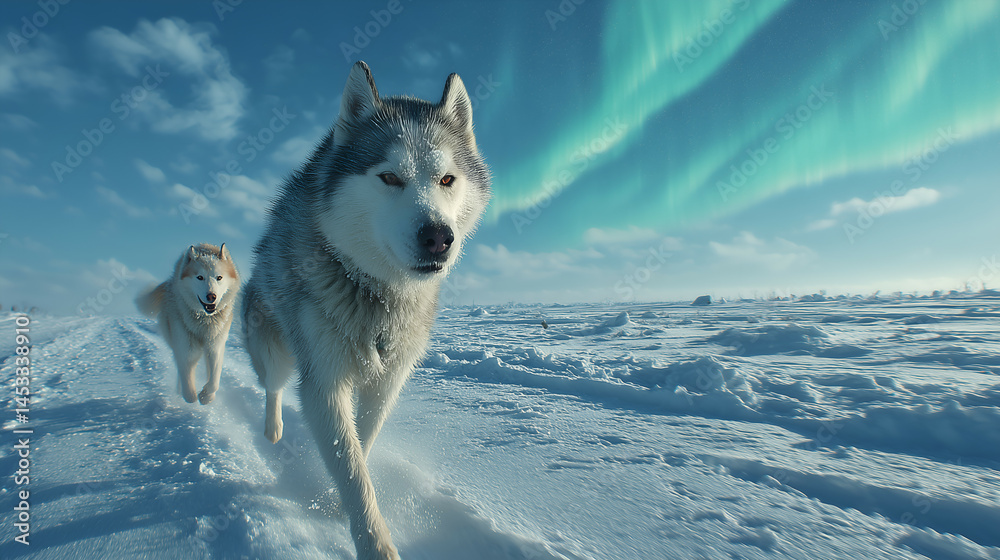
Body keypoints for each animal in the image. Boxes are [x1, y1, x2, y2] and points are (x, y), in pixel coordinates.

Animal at [136, 243, 241, 405]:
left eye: (219, 277)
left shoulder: (215, 345)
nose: (211, 296)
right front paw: (190, 394)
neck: (203, 320)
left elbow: (214, 379)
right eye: (200, 277)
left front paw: (206, 396)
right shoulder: (185, 346)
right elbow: (188, 383)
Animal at [241, 61, 491, 559]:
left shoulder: (389, 378)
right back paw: (273, 429)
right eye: (390, 178)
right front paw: (374, 541)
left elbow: (362, 442)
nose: (439, 237)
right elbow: (350, 463)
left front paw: (341, 499)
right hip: (278, 350)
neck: (375, 293)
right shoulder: (324, 381)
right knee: (273, 386)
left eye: (447, 179)